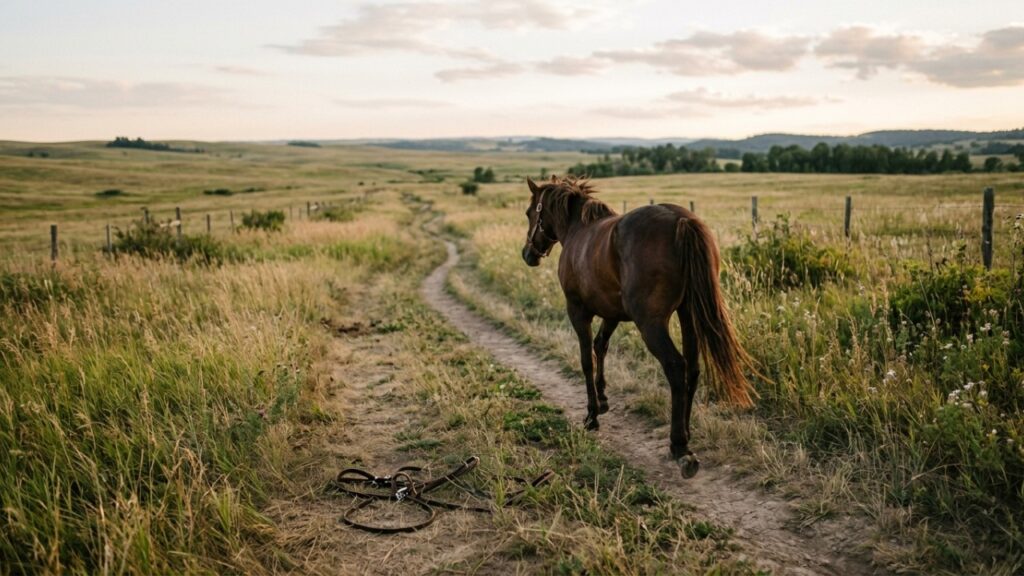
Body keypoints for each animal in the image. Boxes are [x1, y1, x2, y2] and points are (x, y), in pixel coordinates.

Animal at [520, 176, 756, 478]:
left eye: (530, 213)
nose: (528, 254)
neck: (577, 230)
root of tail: (682, 220)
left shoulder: (578, 311)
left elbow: (586, 360)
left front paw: (592, 415)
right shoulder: (612, 313)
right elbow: (601, 346)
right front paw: (603, 399)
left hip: (651, 325)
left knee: (676, 367)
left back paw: (679, 447)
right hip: (688, 314)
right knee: (692, 369)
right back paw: (685, 433)